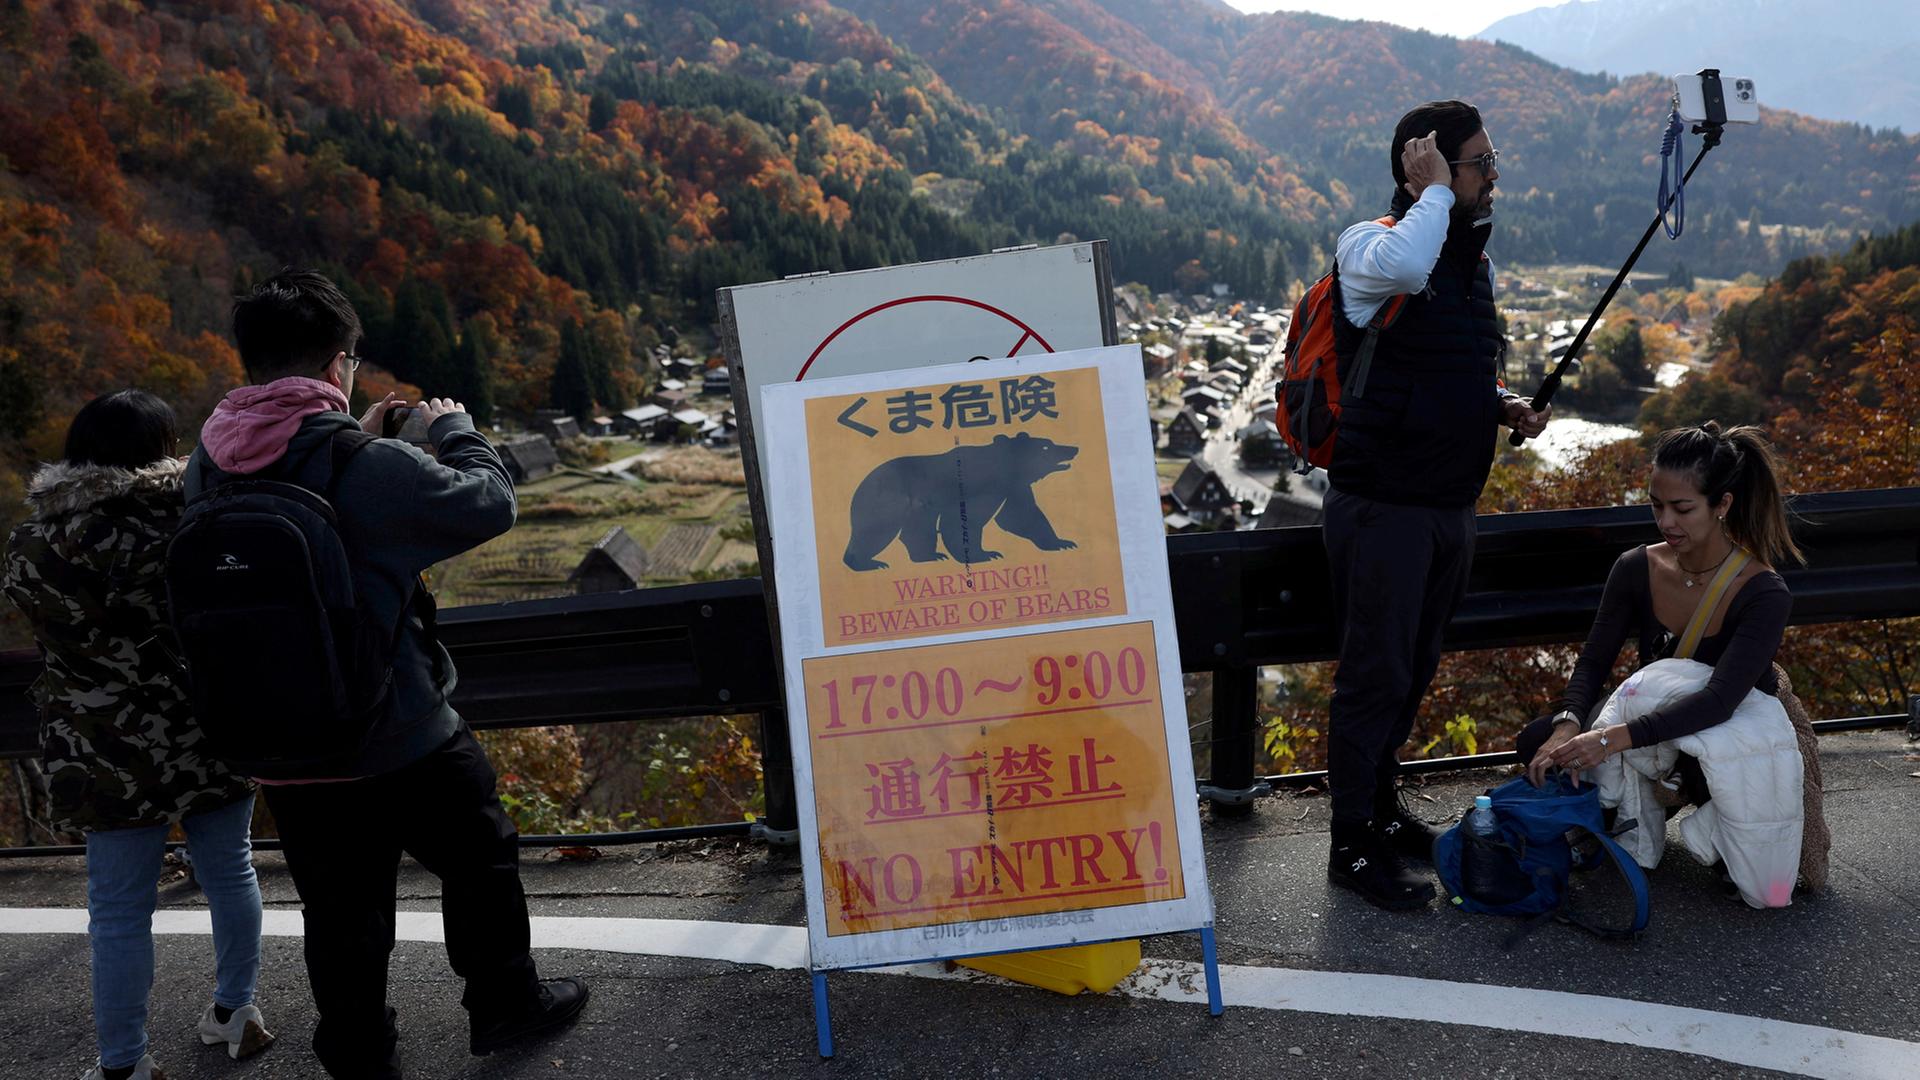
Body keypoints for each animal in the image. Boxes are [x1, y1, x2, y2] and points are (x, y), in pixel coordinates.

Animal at [842, 431, 1079, 572]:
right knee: (875, 532)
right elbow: (964, 522)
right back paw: (867, 562)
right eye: (1046, 446)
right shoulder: (977, 488)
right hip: (886, 500)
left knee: (917, 530)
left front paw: (1062, 542)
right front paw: (984, 554)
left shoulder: (1012, 487)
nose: (1073, 448)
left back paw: (930, 556)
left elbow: (1022, 515)